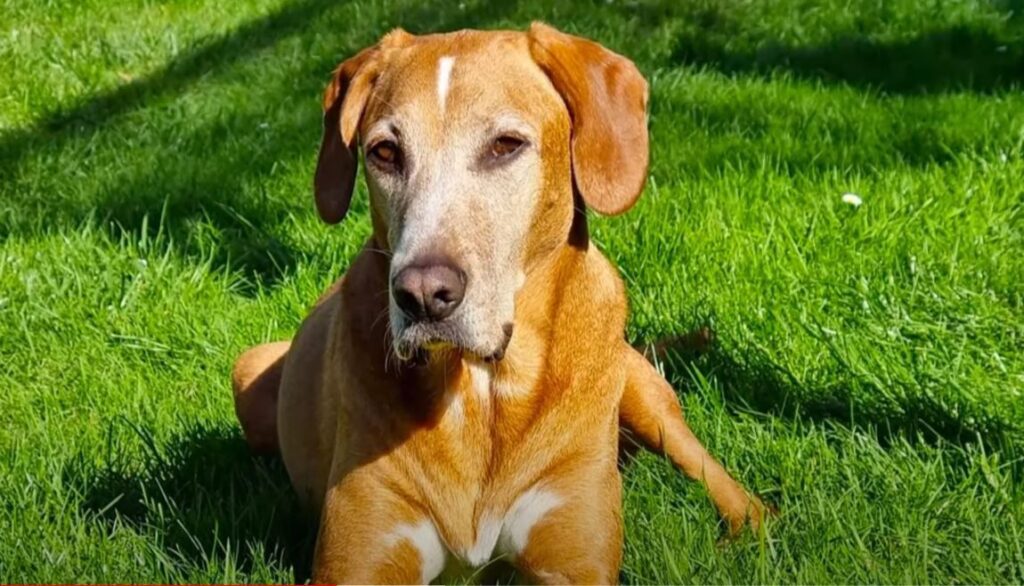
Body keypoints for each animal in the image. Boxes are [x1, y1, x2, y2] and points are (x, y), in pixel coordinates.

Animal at [230, 21, 761, 581]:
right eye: (385, 153)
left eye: (506, 145)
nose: (422, 296)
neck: (481, 391)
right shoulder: (359, 561)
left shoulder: (573, 554)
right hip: (249, 370)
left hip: (643, 390)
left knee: (731, 488)